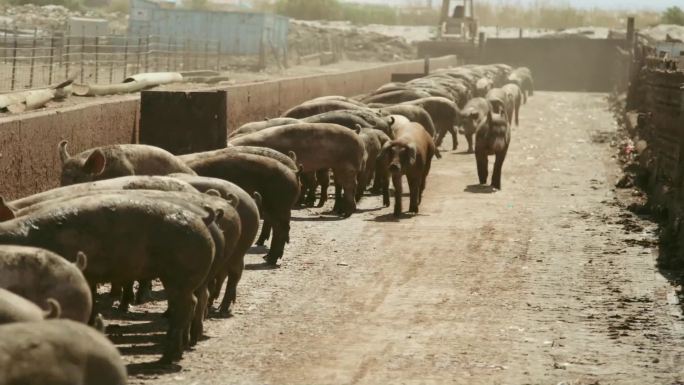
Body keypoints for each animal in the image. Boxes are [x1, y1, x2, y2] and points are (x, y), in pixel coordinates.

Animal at [227, 124, 366, 218]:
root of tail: (358, 137)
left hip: (347, 165)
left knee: (350, 185)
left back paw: (346, 213)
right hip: (338, 166)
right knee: (341, 184)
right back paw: (338, 210)